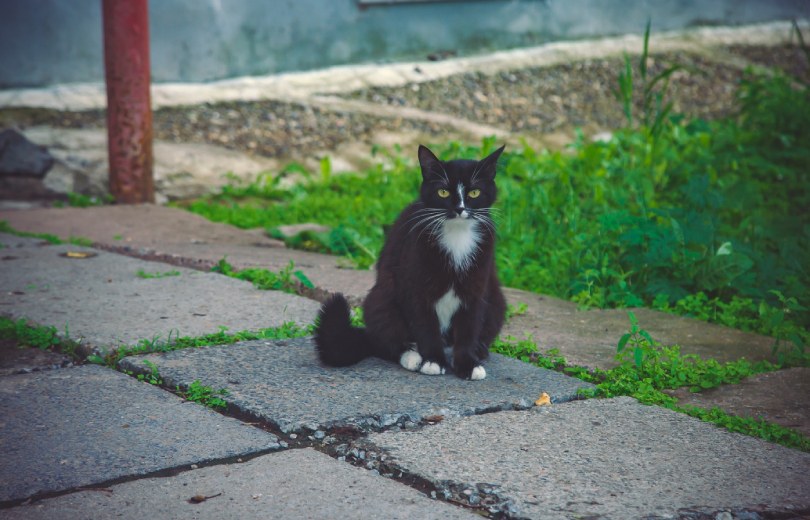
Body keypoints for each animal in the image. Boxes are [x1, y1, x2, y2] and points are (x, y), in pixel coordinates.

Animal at [312, 144, 502, 380]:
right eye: (443, 191)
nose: (459, 209)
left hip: (496, 301)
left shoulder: (476, 285)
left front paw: (467, 364)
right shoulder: (414, 283)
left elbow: (470, 326)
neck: (457, 234)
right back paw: (412, 356)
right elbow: (425, 325)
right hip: (381, 299)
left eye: (474, 192)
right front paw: (433, 361)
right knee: (387, 341)